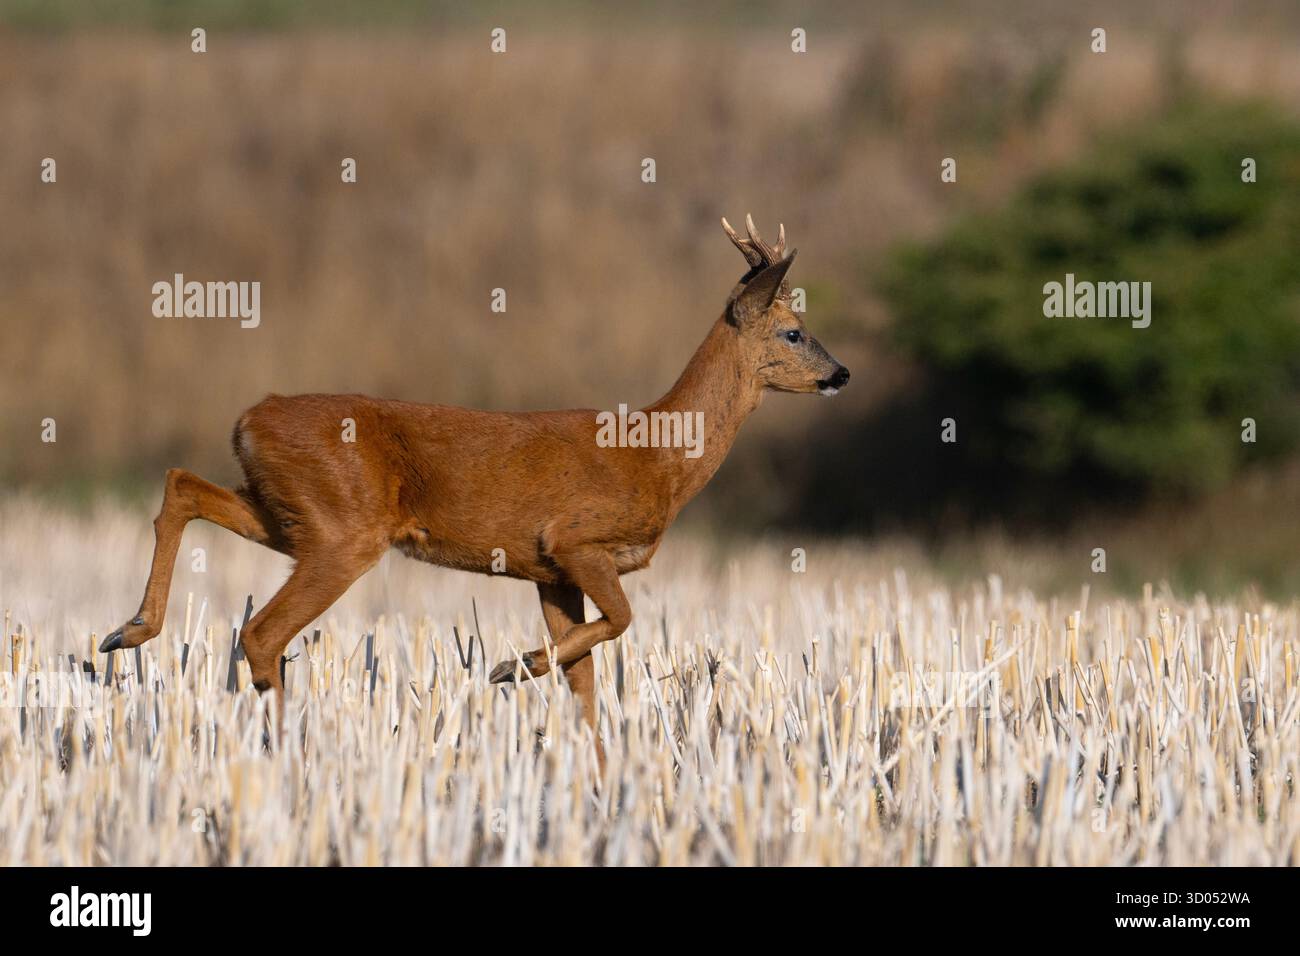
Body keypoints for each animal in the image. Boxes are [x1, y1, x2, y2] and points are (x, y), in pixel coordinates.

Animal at [100, 215, 849, 744]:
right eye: (793, 331)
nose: (841, 373)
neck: (657, 457)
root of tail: (248, 419)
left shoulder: (552, 572)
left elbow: (586, 686)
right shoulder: (576, 540)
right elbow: (623, 621)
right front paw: (509, 666)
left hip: (292, 514)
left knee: (183, 485)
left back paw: (126, 631)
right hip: (343, 530)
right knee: (259, 633)